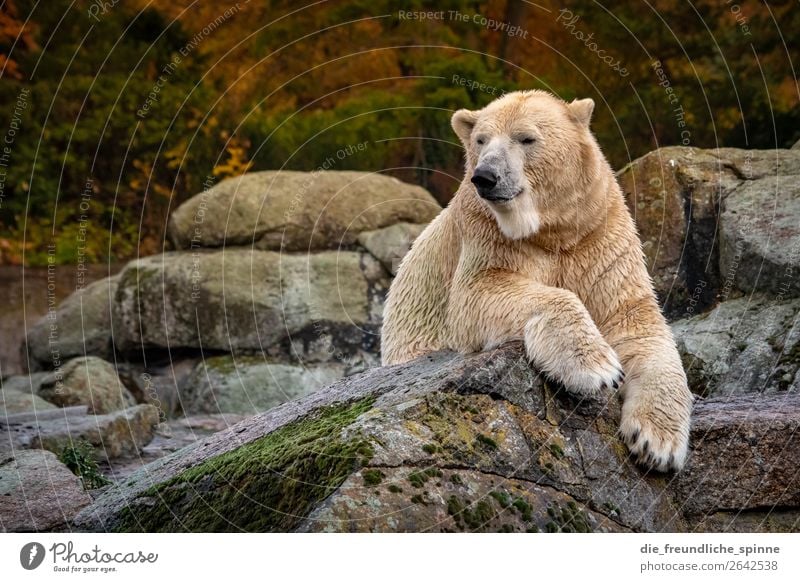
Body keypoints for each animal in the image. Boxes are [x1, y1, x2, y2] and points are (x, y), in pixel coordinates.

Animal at [382, 91, 692, 474]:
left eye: (526, 138)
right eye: (480, 140)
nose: (485, 176)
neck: (552, 231)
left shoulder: (600, 235)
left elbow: (635, 322)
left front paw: (657, 444)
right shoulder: (487, 233)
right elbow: (479, 291)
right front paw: (596, 368)